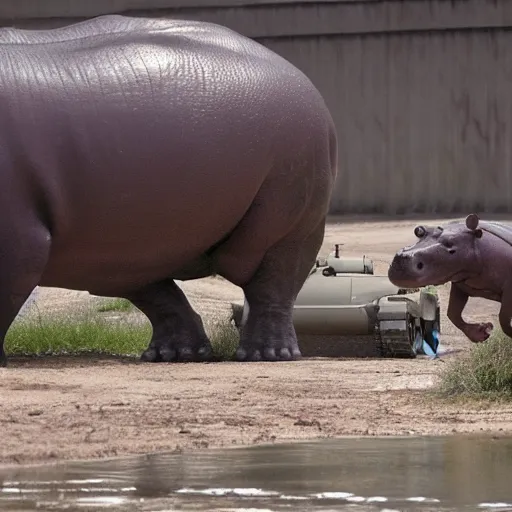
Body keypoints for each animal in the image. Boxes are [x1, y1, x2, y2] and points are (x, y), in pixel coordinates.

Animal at [0, 15, 338, 364]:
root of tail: (299, 75)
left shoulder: (15, 234)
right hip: (127, 247)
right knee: (157, 290)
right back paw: (173, 355)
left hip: (292, 213)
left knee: (273, 281)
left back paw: (266, 355)